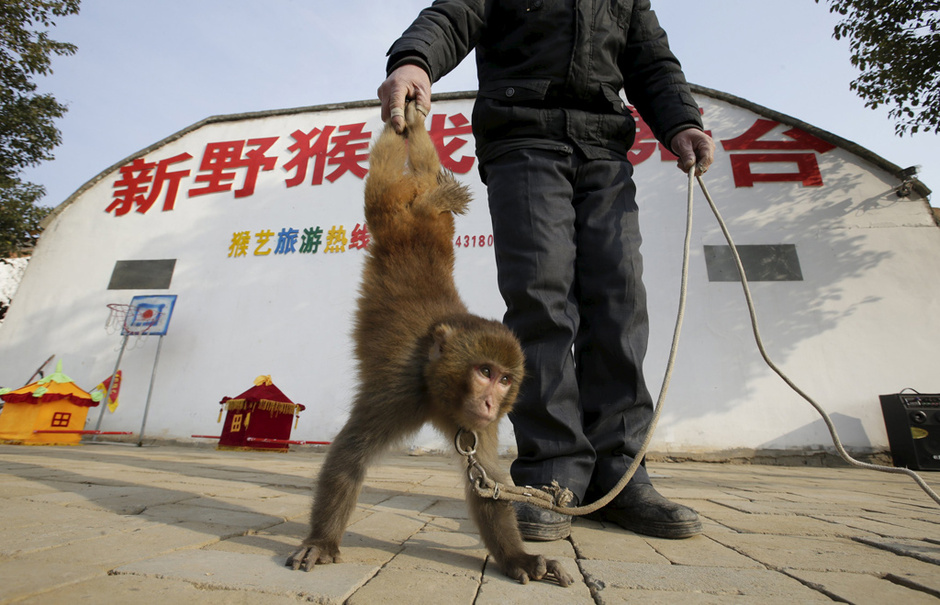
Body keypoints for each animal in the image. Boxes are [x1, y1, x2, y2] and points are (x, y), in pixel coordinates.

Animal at [288, 102, 572, 584]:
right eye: (484, 371)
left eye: (505, 379)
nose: (491, 402)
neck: (437, 386)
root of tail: (416, 219)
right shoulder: (399, 390)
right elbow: (349, 456)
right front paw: (322, 542)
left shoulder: (482, 427)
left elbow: (487, 484)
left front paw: (518, 558)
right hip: (390, 214)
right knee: (384, 180)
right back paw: (400, 118)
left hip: (434, 226)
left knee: (422, 170)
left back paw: (420, 132)